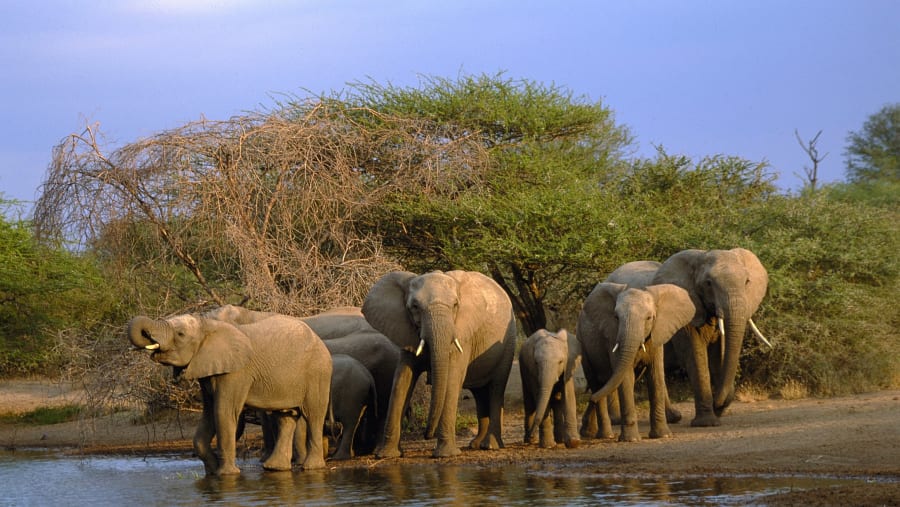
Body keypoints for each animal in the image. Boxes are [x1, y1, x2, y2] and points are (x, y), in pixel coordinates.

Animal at [127, 313, 332, 475]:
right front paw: (211, 471)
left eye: (180, 334)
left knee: (314, 416)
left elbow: (223, 413)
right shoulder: (207, 372)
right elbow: (208, 416)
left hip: (317, 373)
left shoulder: (236, 372)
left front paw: (226, 474)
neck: (208, 325)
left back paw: (311, 468)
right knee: (286, 417)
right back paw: (274, 468)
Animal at [362, 270, 517, 458]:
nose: (426, 435)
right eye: (414, 307)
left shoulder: (462, 333)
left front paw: (446, 454)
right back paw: (476, 444)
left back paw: (490, 446)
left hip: (509, 341)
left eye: (455, 305)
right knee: (480, 393)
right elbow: (402, 381)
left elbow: (452, 378)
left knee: (496, 387)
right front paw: (387, 455)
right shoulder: (406, 331)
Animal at [577, 276, 695, 441]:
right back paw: (605, 435)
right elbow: (626, 378)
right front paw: (631, 439)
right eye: (616, 318)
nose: (589, 398)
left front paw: (662, 435)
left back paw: (589, 431)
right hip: (583, 343)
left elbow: (655, 376)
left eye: (649, 318)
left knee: (605, 384)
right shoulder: (612, 336)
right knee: (597, 383)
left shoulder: (656, 335)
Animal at [649, 248, 769, 427]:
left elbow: (718, 355)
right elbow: (695, 356)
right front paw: (707, 423)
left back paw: (673, 418)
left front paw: (717, 410)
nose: (716, 403)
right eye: (708, 283)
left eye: (747, 282)